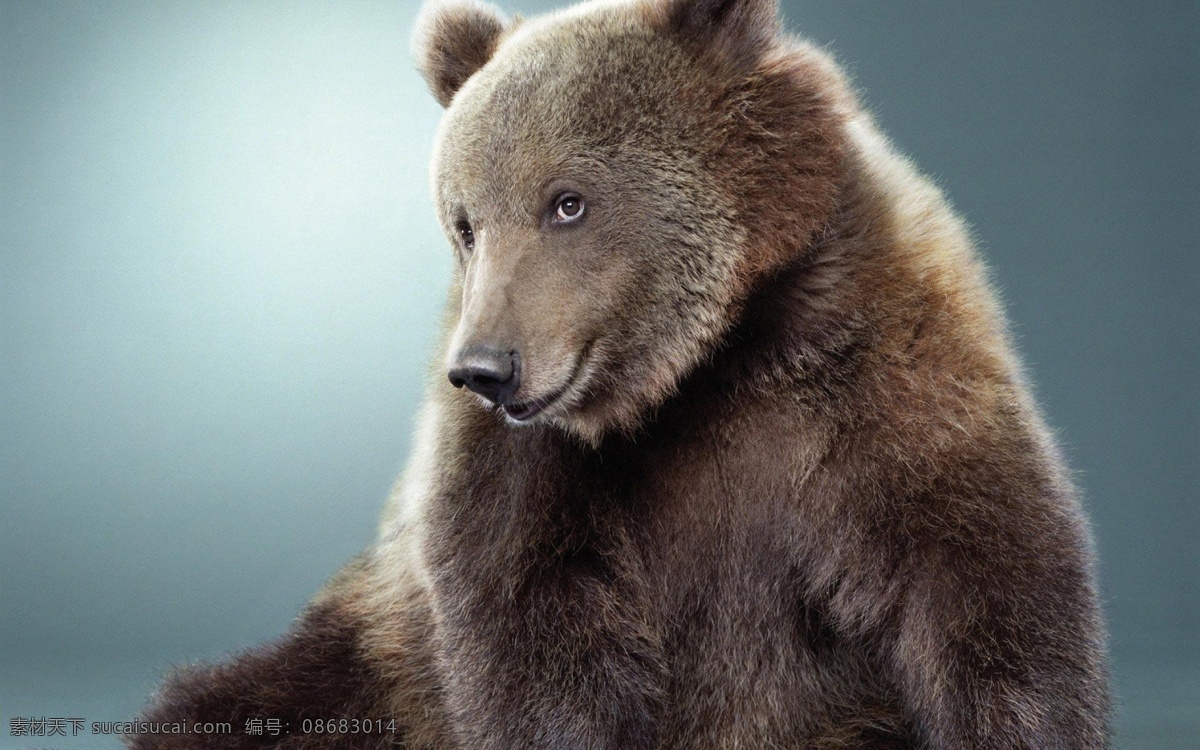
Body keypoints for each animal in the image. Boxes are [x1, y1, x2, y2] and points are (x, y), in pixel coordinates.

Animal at [129, 0, 1112, 747]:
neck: (704, 366)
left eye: (568, 202)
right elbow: (526, 617)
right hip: (369, 650)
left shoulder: (878, 364)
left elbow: (979, 578)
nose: (485, 369)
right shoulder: (522, 470)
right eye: (464, 221)